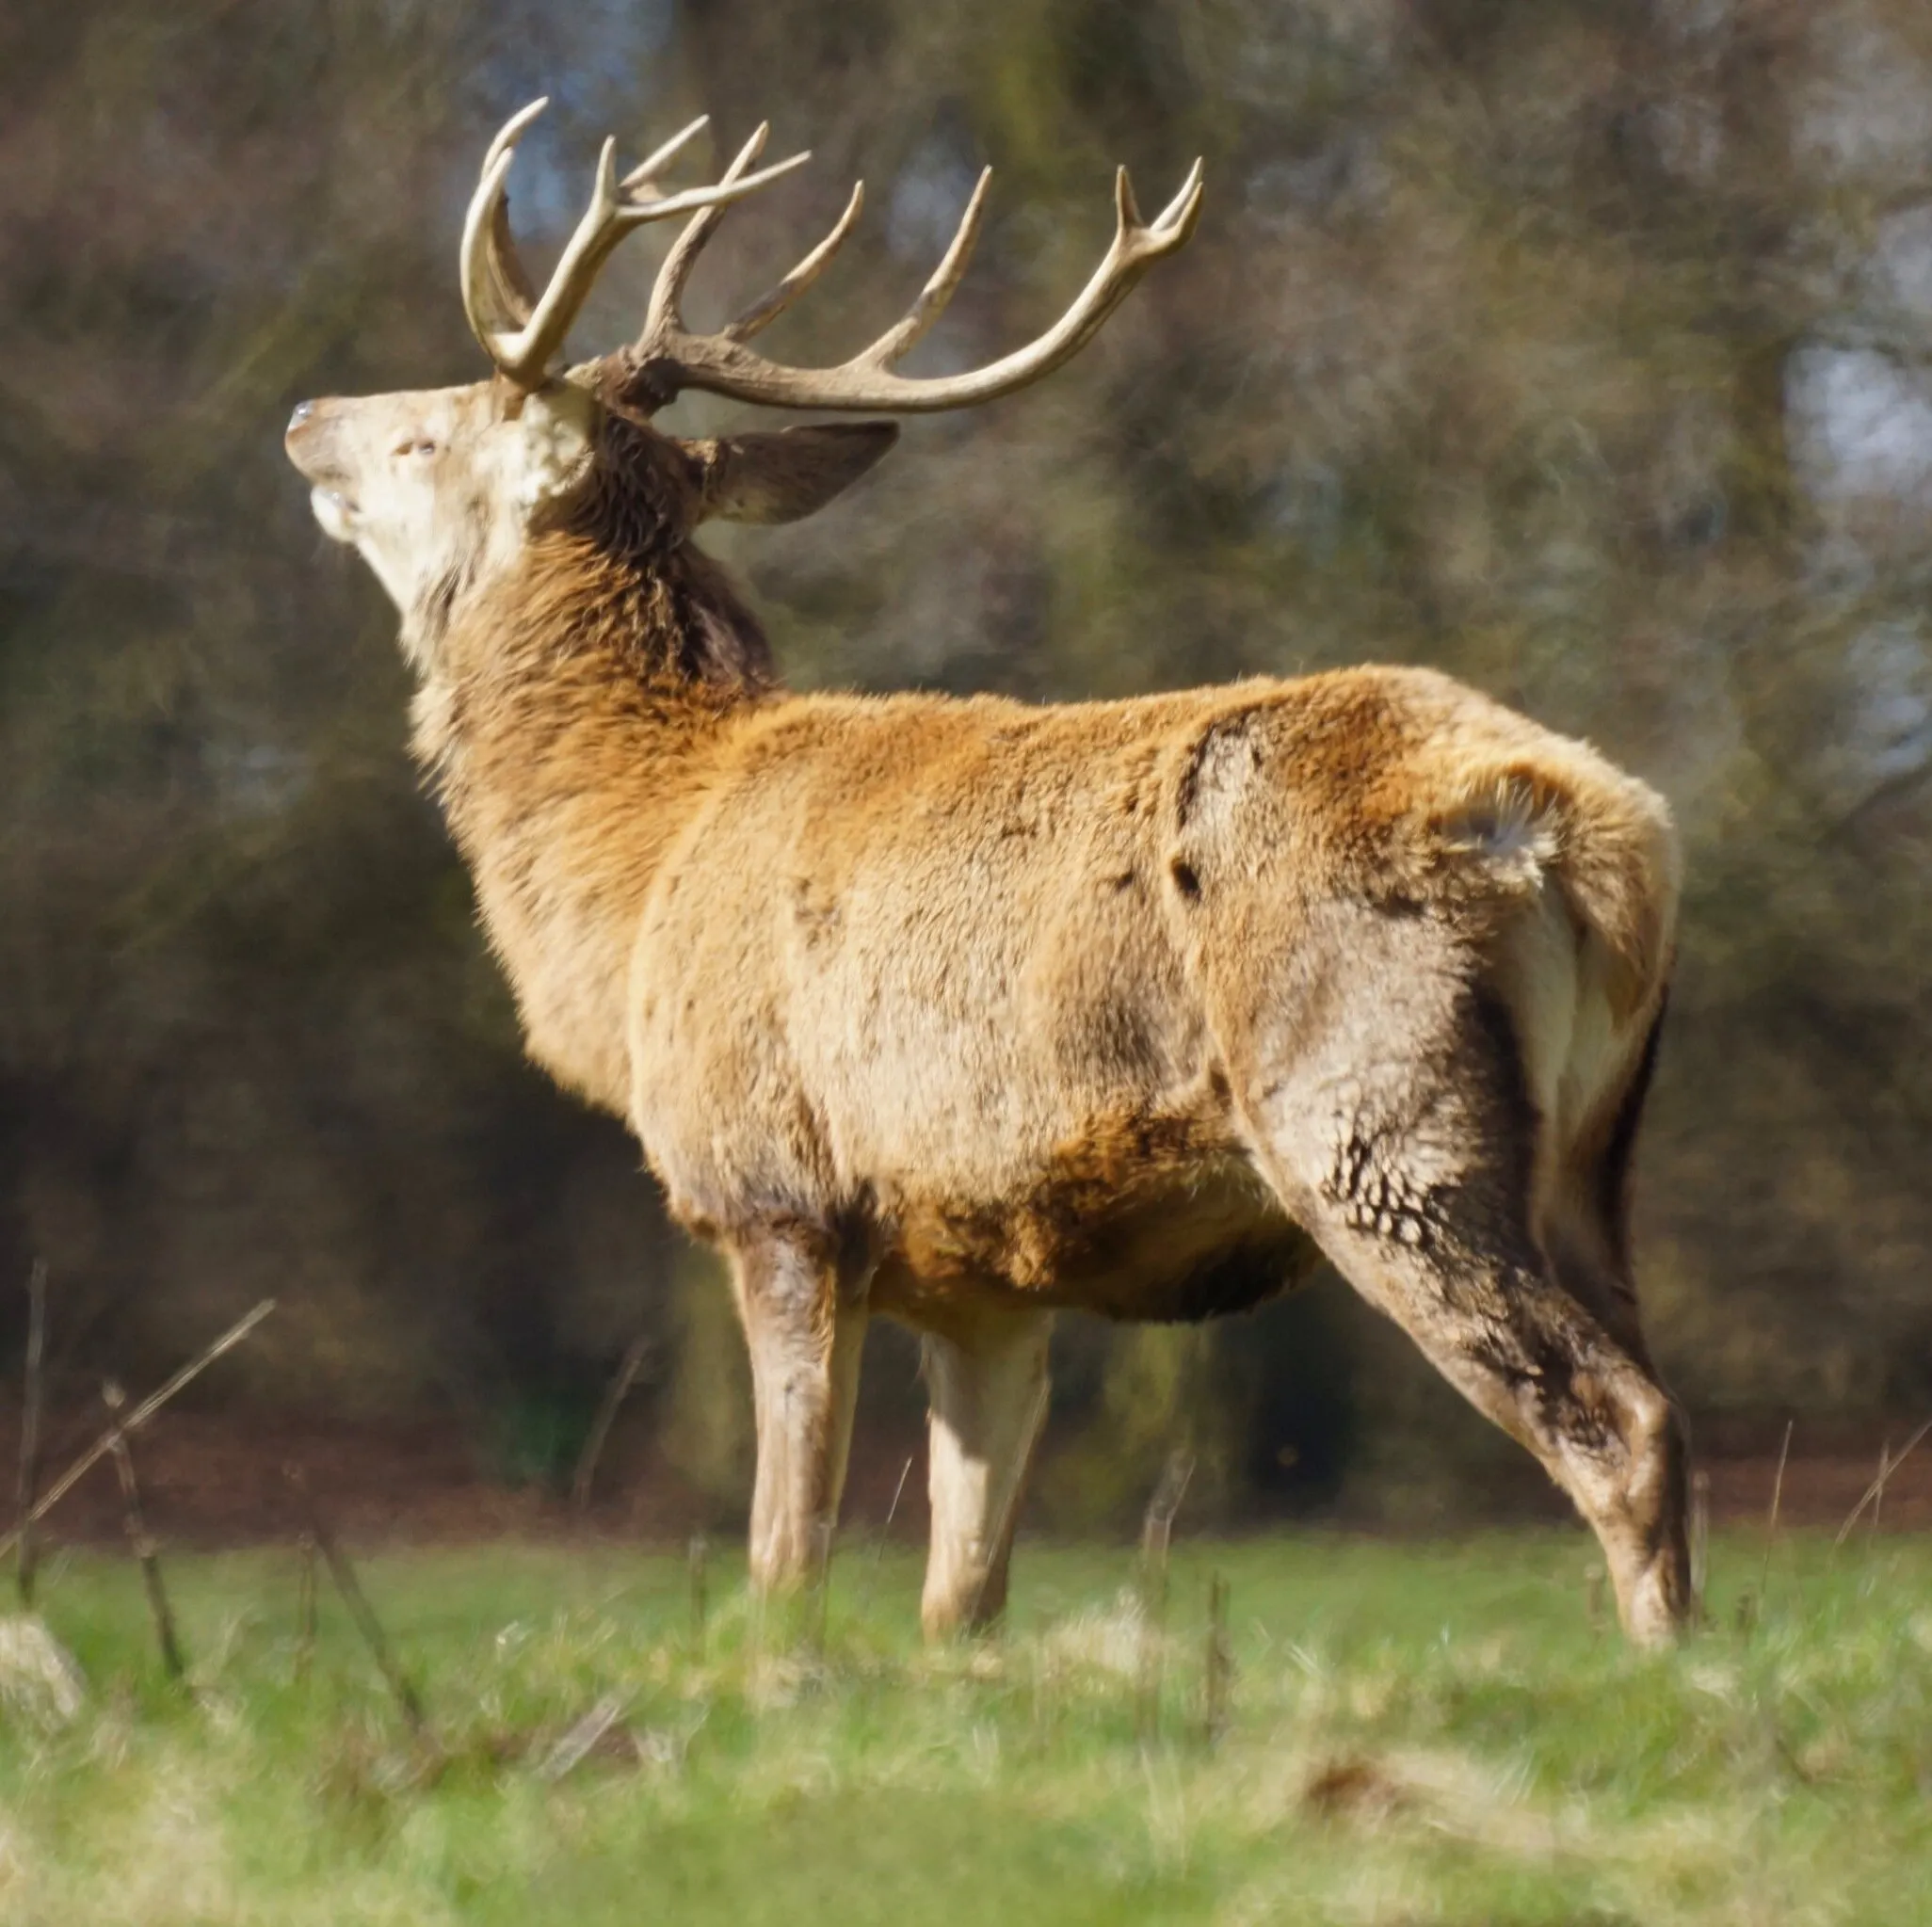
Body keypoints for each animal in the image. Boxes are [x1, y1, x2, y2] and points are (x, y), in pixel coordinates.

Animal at [284, 100, 1692, 1646]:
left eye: (430, 433)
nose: (303, 415)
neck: (641, 863)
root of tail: (1595, 833)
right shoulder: (987, 1273)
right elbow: (960, 1594)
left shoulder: (778, 1186)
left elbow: (786, 1553)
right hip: (1595, 1158)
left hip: (1373, 1108)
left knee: (1618, 1422)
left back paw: (1660, 1674)